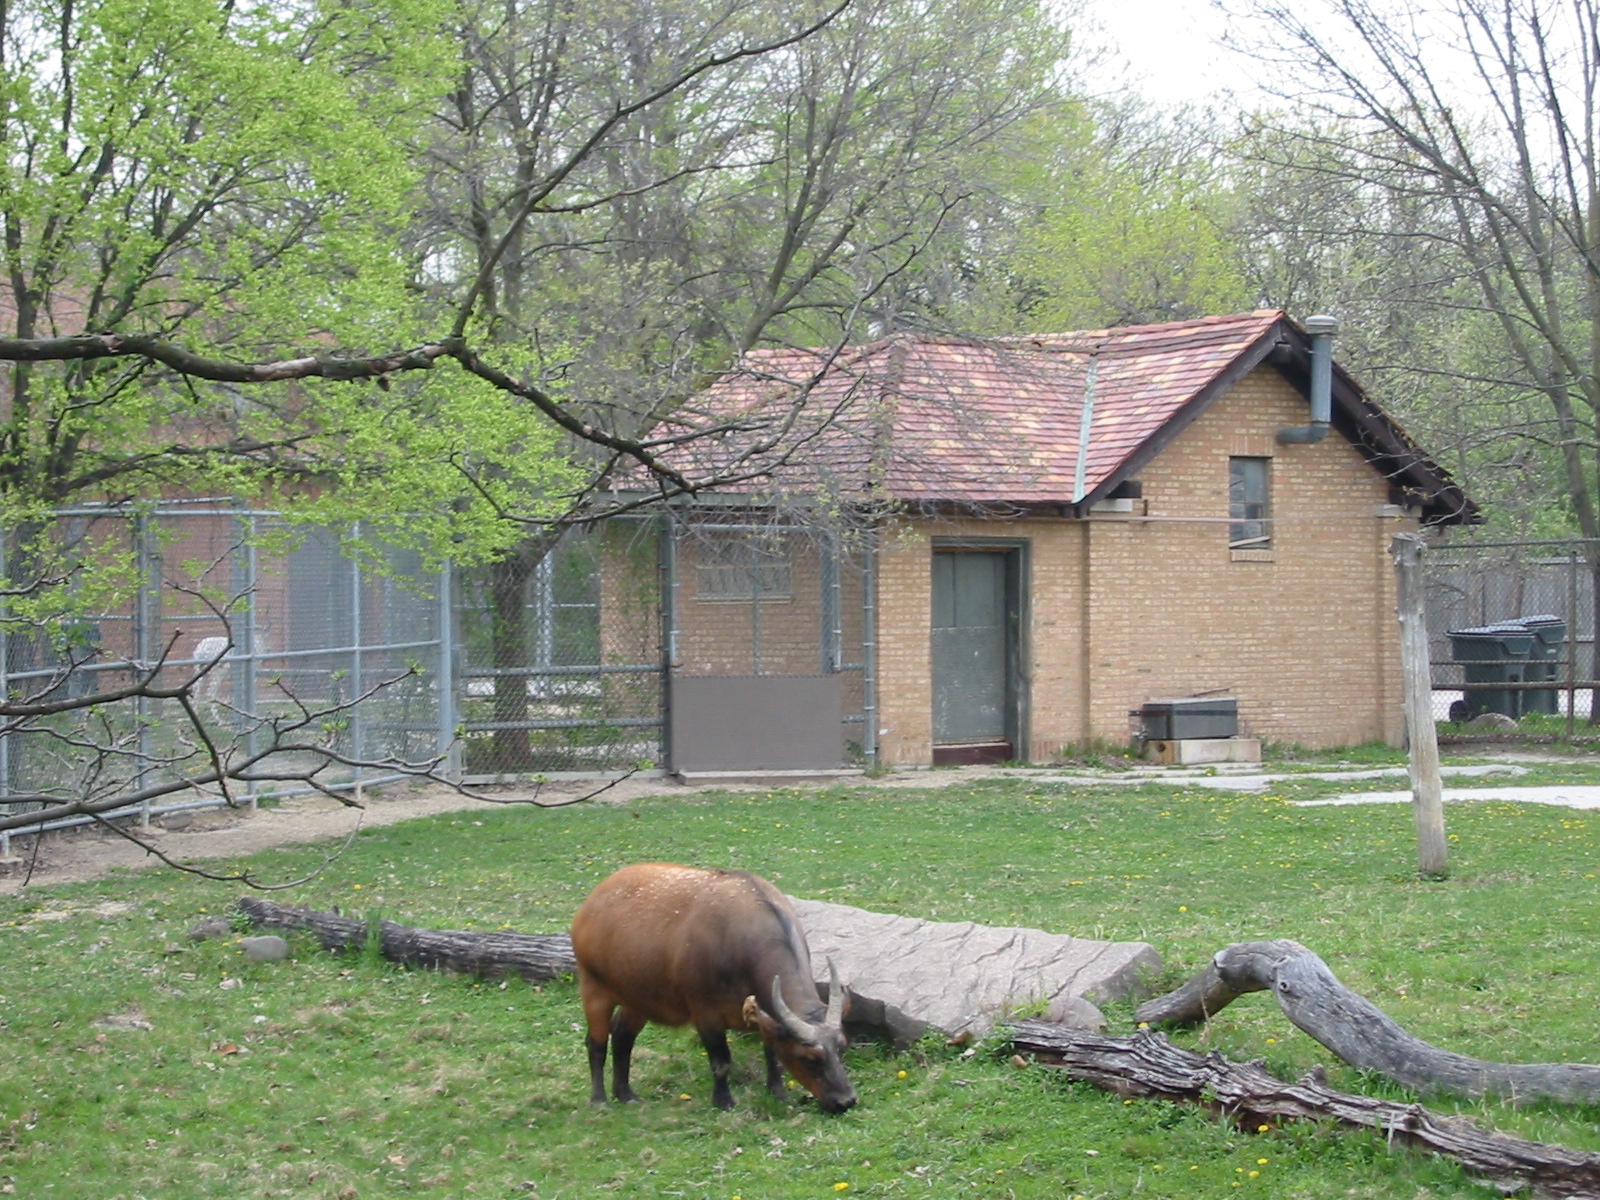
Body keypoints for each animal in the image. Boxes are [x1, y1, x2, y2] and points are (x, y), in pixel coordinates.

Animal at [570, 862, 858, 1113]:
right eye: (809, 1058)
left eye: (842, 1047)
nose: (845, 1101)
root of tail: (591, 904)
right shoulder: (705, 1015)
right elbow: (721, 1061)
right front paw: (723, 1101)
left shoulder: (765, 1014)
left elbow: (772, 1056)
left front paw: (778, 1093)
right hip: (593, 989)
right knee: (596, 1043)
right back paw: (600, 1100)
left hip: (638, 998)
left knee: (622, 1035)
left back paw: (626, 1094)